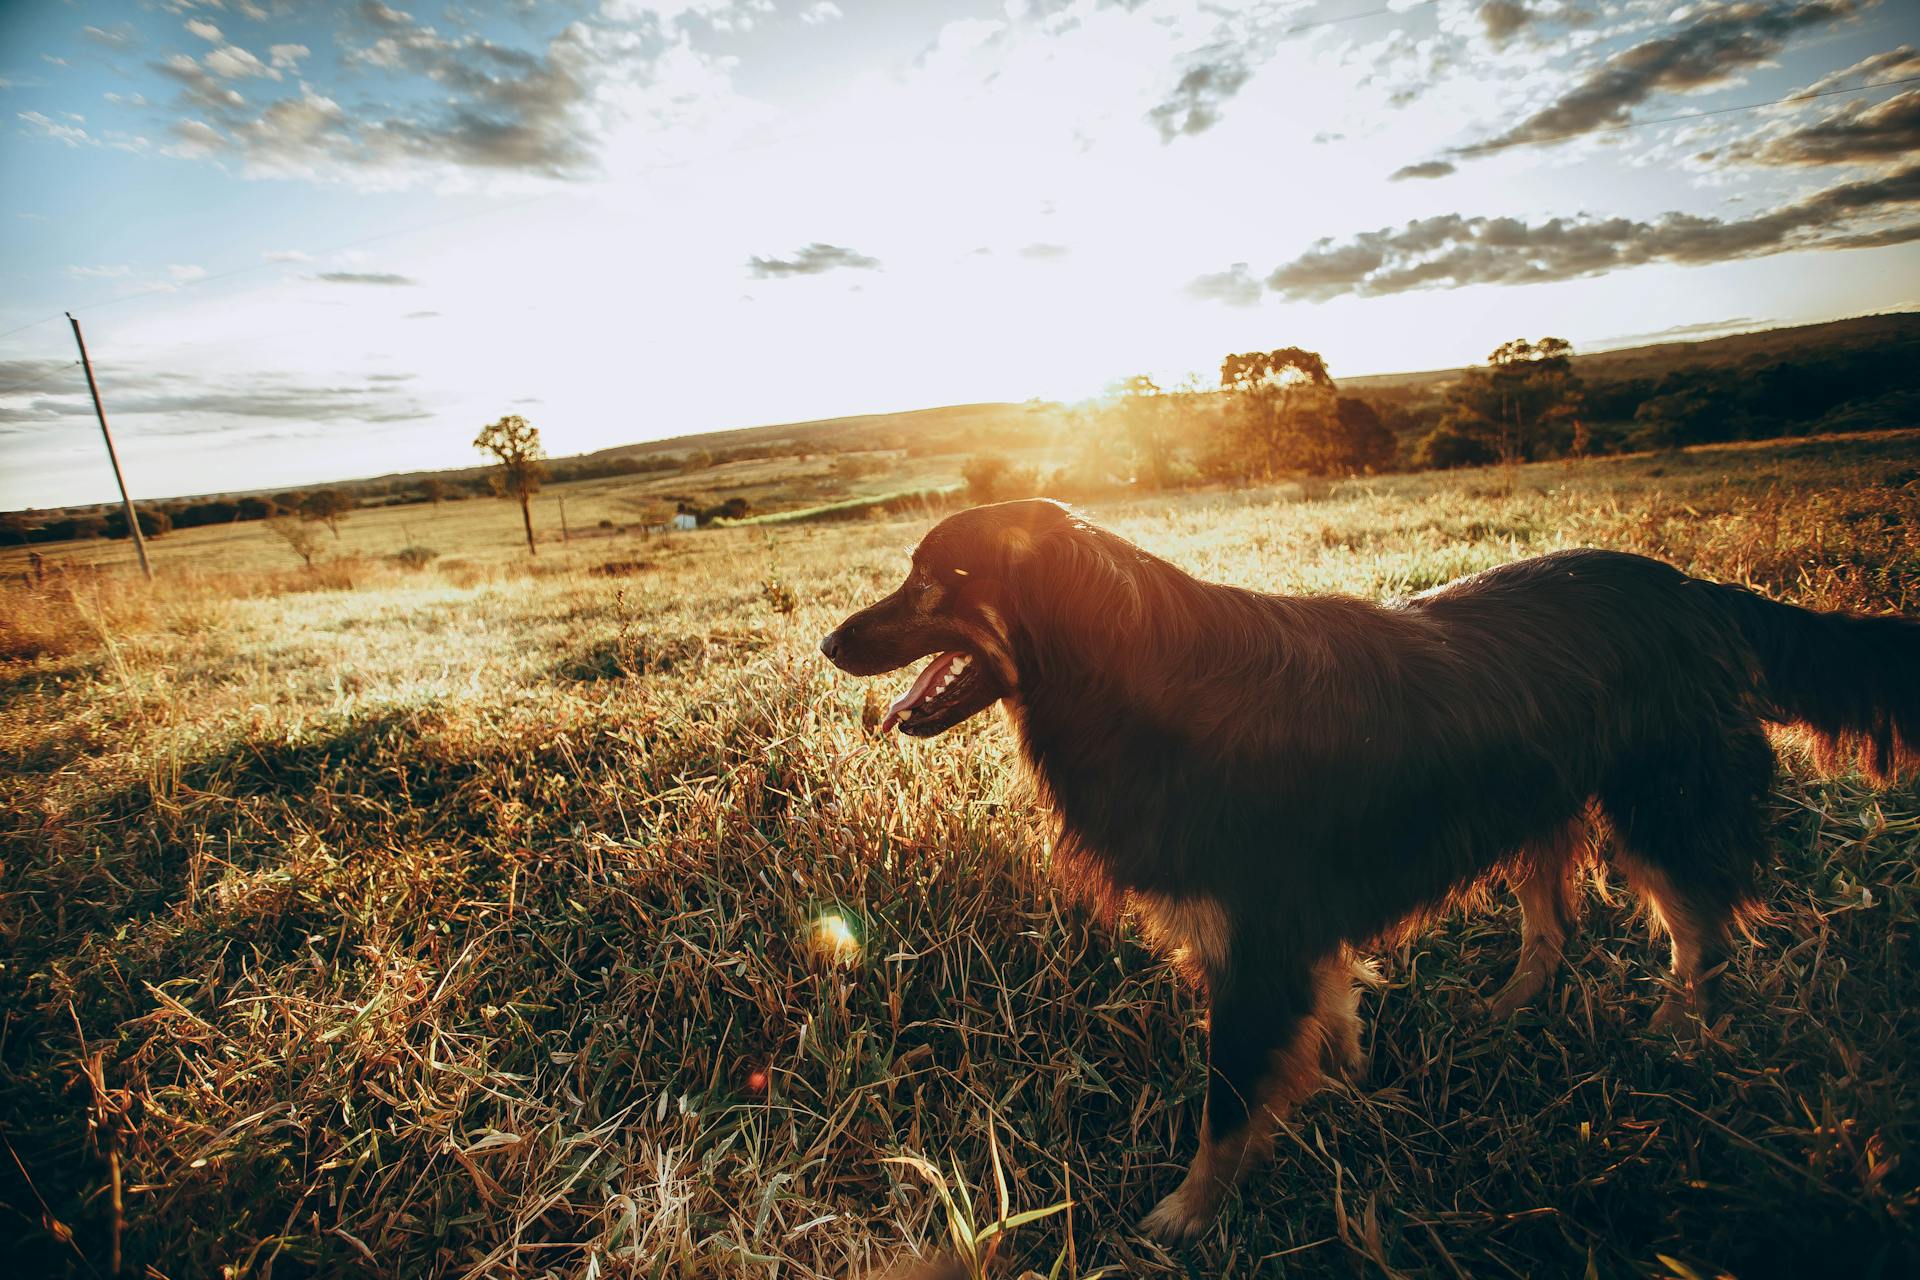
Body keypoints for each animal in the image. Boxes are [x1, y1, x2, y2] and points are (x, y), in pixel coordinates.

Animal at [814, 498, 1920, 1243]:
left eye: (934, 579)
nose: (827, 642)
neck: (1131, 670)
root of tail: (1695, 588)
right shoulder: (1291, 930)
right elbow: (1330, 1014)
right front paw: (1344, 1086)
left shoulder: (1256, 940)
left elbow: (1225, 1102)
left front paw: (1189, 1214)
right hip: (1534, 801)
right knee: (1555, 924)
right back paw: (1508, 1005)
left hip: (1660, 803)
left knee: (1699, 929)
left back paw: (1682, 1032)